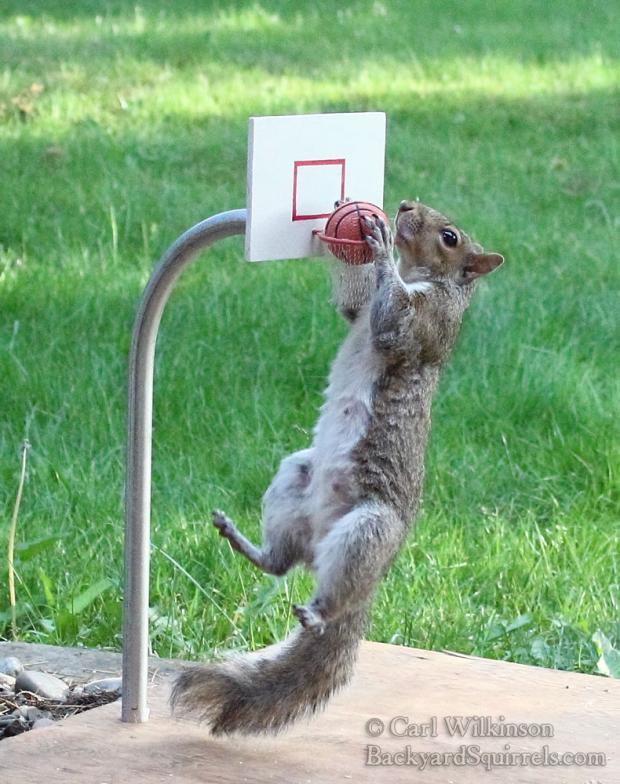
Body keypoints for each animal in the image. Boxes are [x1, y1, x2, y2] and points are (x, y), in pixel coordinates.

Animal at [171, 200, 504, 734]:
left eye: (450, 236)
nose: (405, 206)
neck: (423, 277)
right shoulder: (360, 312)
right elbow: (353, 307)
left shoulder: (424, 326)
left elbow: (392, 326)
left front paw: (379, 242)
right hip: (295, 478)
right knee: (281, 561)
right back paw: (246, 543)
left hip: (368, 527)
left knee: (331, 593)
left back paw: (318, 612)